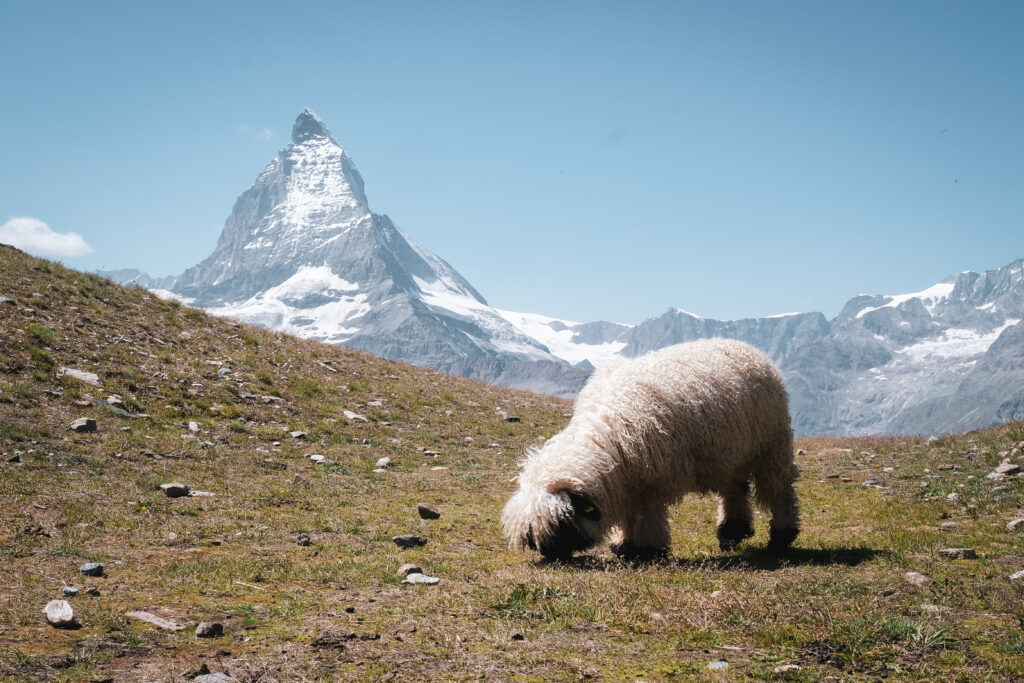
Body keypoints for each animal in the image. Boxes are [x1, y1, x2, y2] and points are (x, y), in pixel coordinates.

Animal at [499, 337, 794, 561]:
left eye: (562, 524)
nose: (551, 556)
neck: (609, 432)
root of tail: (749, 348)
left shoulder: (655, 478)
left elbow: (650, 513)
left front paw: (649, 549)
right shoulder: (629, 478)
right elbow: (628, 513)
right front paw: (624, 544)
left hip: (772, 445)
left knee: (779, 490)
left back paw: (782, 536)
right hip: (729, 455)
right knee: (734, 490)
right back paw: (731, 533)